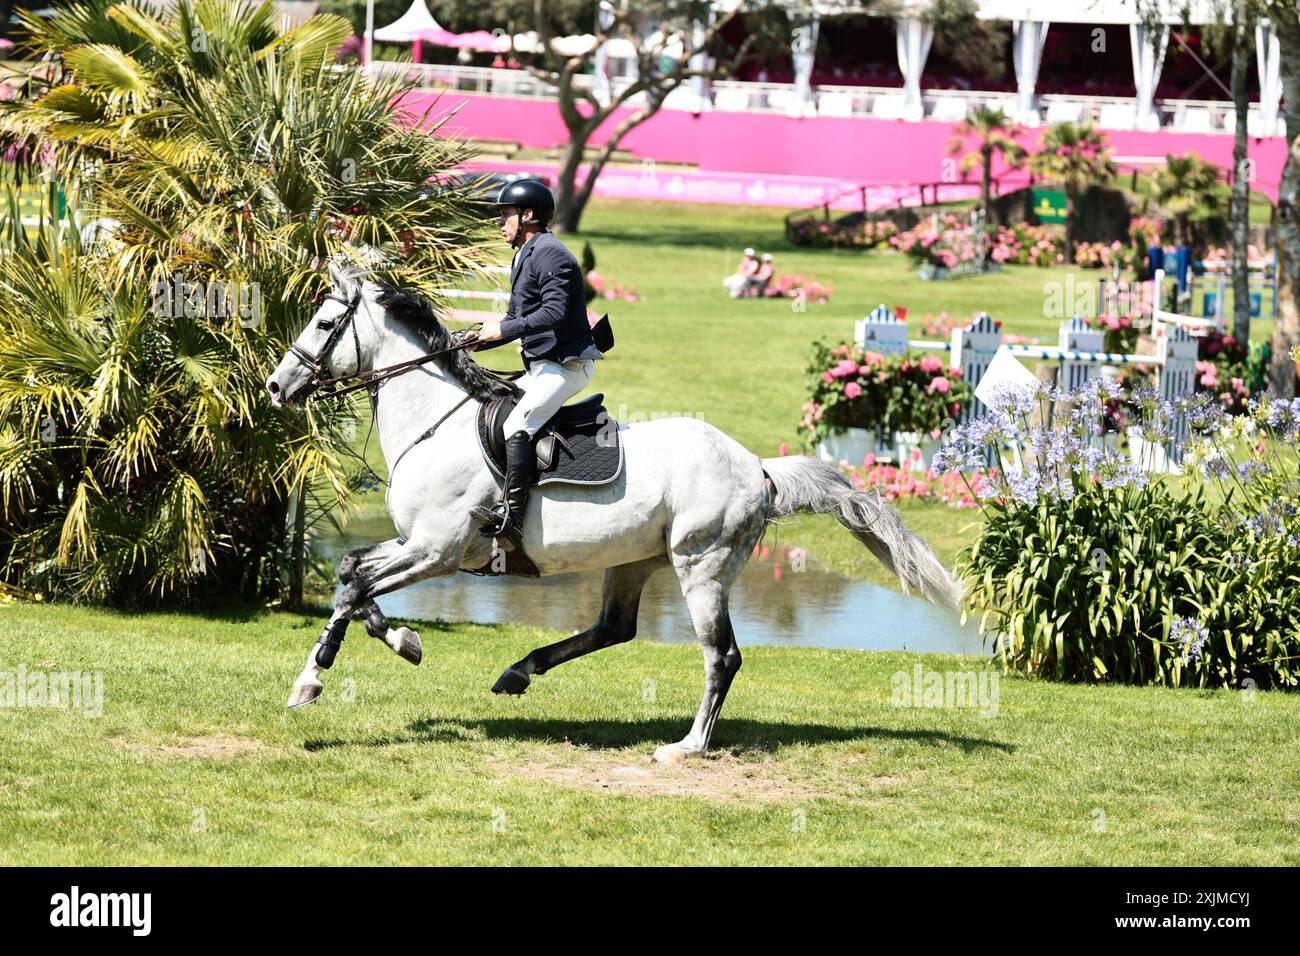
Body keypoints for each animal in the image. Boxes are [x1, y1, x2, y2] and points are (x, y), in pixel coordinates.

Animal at [263, 264, 967, 764]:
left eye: (324, 324)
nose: (275, 387)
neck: (436, 426)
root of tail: (757, 467)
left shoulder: (436, 550)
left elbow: (353, 586)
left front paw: (311, 682)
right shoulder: (414, 545)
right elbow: (353, 574)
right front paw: (403, 641)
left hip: (700, 565)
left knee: (721, 655)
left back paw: (688, 747)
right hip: (633, 560)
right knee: (614, 628)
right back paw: (518, 673)